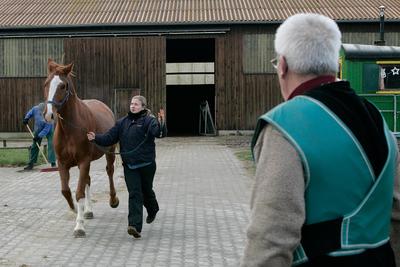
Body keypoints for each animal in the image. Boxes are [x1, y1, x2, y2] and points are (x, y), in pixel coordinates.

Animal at [44, 59, 119, 239]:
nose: (49, 115)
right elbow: (66, 191)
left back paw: (113, 200)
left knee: (110, 172)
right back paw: (88, 211)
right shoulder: (63, 163)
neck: (70, 128)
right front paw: (75, 208)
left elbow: (79, 192)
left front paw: (79, 227)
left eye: (62, 86)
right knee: (88, 180)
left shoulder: (84, 161)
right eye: (46, 84)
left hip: (109, 153)